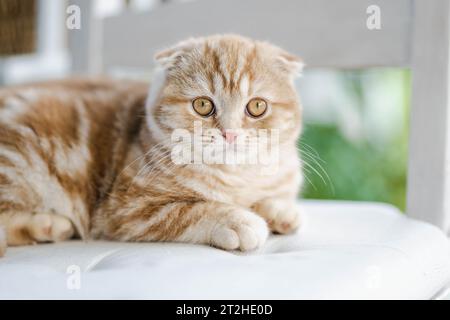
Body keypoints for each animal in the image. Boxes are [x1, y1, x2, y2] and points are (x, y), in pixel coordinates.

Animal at [0, 34, 304, 255]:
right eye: (203, 105)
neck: (237, 178)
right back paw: (48, 224)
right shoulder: (129, 208)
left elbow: (273, 198)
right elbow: (194, 210)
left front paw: (280, 211)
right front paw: (240, 220)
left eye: (257, 106)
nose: (230, 133)